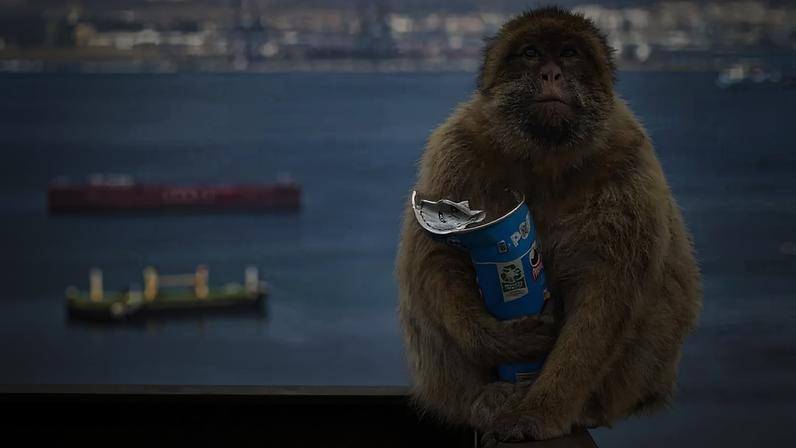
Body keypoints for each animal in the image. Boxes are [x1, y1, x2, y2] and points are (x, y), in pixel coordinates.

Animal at [395, 7, 702, 445]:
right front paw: (499, 340)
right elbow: (437, 258)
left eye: (569, 53)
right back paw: (485, 399)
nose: (551, 73)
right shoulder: (457, 148)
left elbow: (608, 293)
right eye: (530, 53)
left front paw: (543, 409)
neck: (546, 160)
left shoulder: (628, 161)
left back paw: (581, 408)